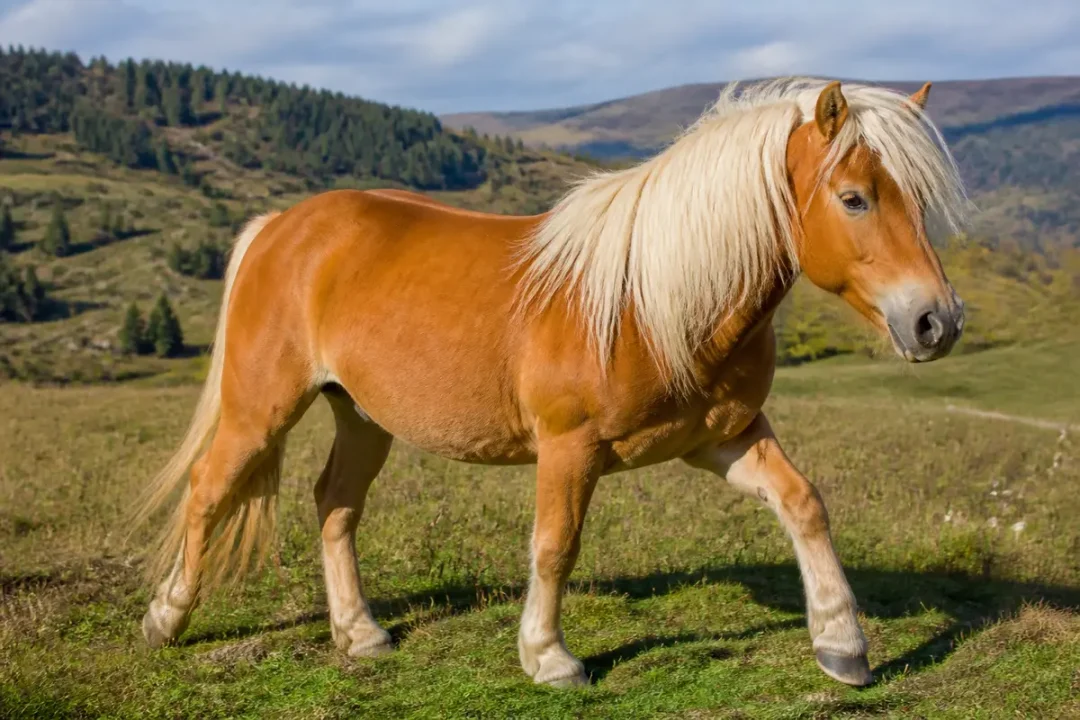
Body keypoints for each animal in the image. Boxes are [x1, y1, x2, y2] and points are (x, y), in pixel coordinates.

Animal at [133, 77, 969, 689]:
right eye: (854, 198)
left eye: (917, 200)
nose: (937, 321)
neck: (648, 300)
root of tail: (279, 226)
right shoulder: (570, 449)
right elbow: (555, 545)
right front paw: (549, 657)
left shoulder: (723, 438)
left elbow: (804, 505)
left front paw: (843, 644)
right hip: (261, 409)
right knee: (209, 493)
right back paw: (166, 619)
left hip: (362, 416)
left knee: (334, 506)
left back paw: (361, 634)